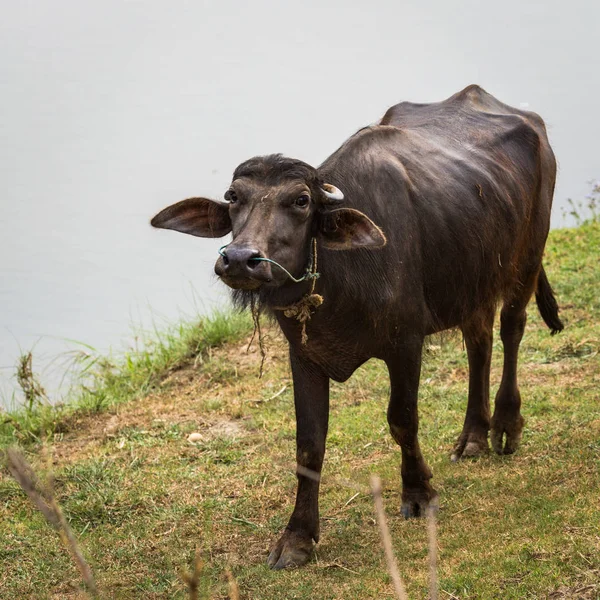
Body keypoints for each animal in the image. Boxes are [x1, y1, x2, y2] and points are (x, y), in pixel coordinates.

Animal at [150, 84, 564, 568]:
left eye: (301, 200)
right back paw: (473, 437)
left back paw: (505, 426)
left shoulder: (405, 344)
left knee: (511, 328)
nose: (238, 259)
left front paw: (418, 492)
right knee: (477, 341)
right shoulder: (303, 355)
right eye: (234, 197)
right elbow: (308, 443)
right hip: (471, 280)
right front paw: (297, 537)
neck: (341, 277)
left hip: (527, 258)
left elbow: (402, 419)